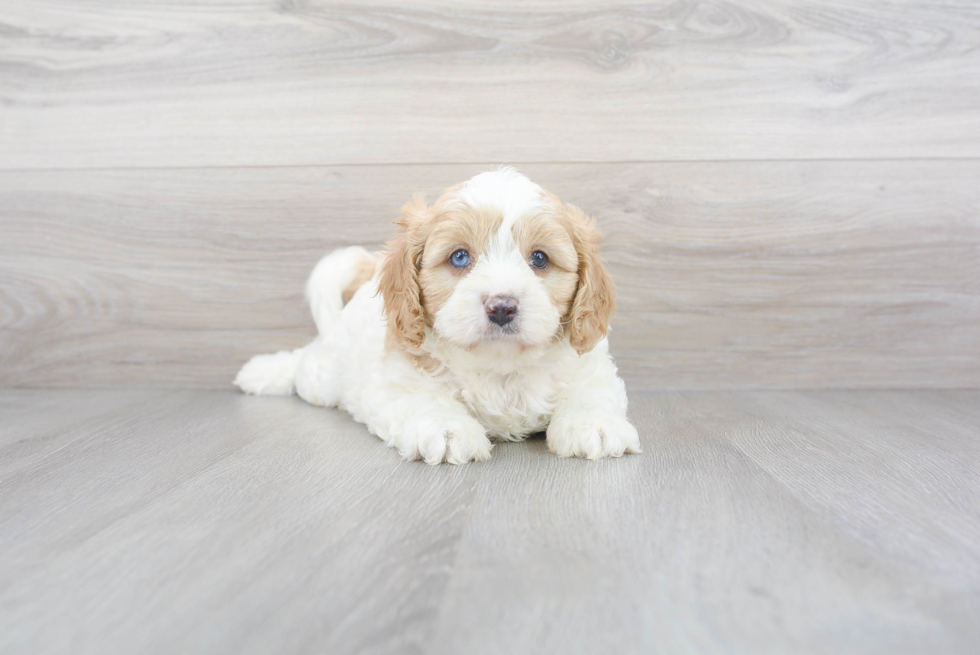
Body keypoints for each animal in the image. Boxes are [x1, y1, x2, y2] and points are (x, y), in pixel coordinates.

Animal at [234, 169, 640, 466]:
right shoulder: (400, 378)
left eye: (539, 258)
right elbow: (426, 399)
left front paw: (594, 425)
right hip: (323, 376)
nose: (502, 306)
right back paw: (262, 372)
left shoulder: (591, 365)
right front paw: (447, 431)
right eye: (459, 257)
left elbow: (590, 391)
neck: (501, 368)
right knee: (304, 362)